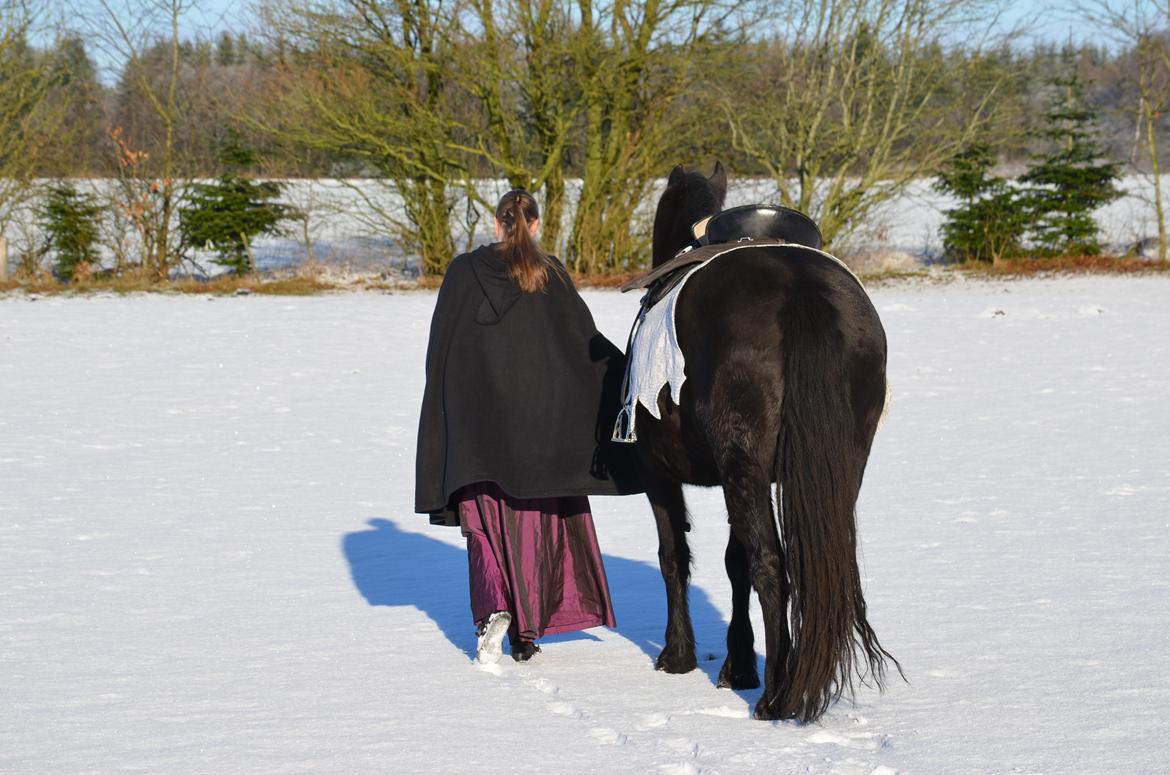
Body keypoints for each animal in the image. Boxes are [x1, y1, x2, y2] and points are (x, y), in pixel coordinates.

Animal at [636, 162, 898, 721]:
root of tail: (799, 287)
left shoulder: (658, 472)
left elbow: (675, 556)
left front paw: (678, 655)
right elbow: (733, 563)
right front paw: (738, 666)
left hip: (743, 466)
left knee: (771, 564)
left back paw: (777, 696)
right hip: (832, 466)